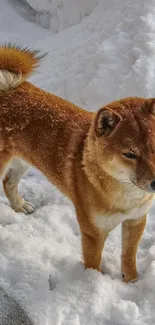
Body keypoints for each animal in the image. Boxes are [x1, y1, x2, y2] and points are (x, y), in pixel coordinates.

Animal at [0, 43, 155, 280]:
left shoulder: (136, 220)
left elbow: (128, 258)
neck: (125, 194)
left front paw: (131, 282)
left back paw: (19, 206)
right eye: (130, 154)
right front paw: (91, 282)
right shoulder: (93, 231)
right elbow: (93, 265)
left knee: (8, 183)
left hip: (22, 160)